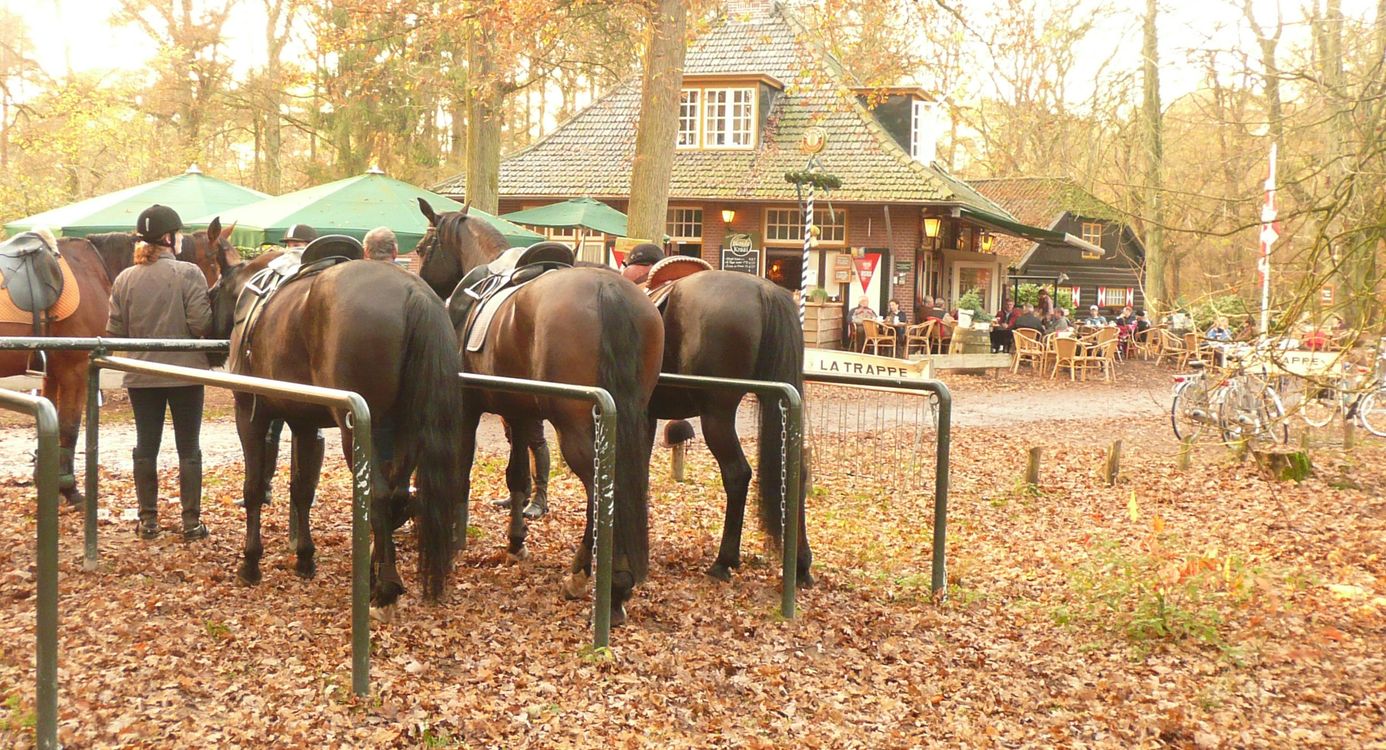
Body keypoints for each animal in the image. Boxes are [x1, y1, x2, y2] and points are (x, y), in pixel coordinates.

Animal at [208, 250, 462, 609]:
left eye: (213, 292)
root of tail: (414, 292)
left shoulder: (250, 415)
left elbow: (254, 488)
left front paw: (251, 562)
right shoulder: (304, 424)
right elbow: (302, 490)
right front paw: (304, 557)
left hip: (358, 432)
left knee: (379, 495)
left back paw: (385, 583)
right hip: (407, 430)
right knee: (397, 494)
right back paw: (376, 572)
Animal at [415, 200, 664, 626]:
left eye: (423, 246)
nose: (421, 283)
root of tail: (609, 289)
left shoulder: (469, 406)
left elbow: (463, 468)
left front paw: (455, 537)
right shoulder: (518, 411)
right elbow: (517, 475)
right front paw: (516, 541)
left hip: (577, 426)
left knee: (600, 487)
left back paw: (595, 579)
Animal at [634, 256, 814, 587]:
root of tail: (765, 291)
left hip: (716, 416)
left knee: (737, 474)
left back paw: (724, 560)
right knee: (794, 471)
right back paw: (801, 564)